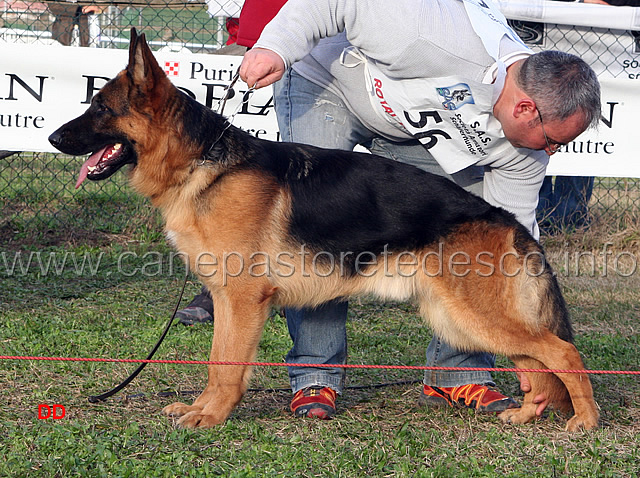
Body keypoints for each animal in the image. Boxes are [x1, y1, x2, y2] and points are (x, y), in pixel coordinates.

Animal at [50, 30, 600, 434]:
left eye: (101, 108)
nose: (53, 137)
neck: (203, 160)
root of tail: (508, 220)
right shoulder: (226, 299)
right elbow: (216, 359)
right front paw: (201, 408)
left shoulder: (243, 299)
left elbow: (227, 364)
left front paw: (211, 416)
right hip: (460, 317)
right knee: (536, 362)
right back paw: (527, 411)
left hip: (471, 315)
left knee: (562, 351)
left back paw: (585, 422)